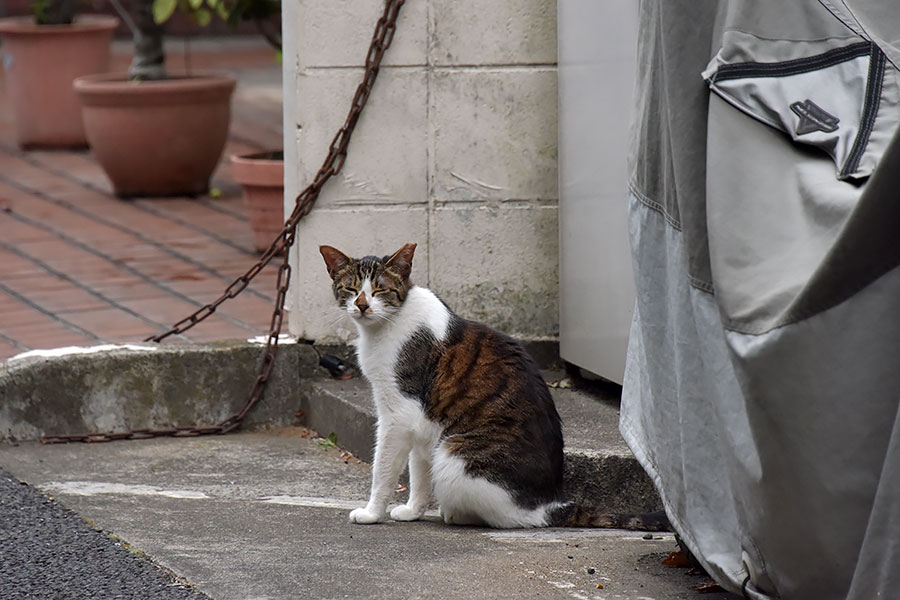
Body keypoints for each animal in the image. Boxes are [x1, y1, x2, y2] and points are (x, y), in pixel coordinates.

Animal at [320, 244, 664, 528]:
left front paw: (371, 513)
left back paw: (455, 513)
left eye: (380, 289)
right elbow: (419, 471)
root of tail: (549, 504)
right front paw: (412, 510)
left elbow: (383, 469)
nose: (362, 305)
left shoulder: (398, 413)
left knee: (507, 518)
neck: (388, 323)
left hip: (454, 456)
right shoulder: (421, 420)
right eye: (351, 288)